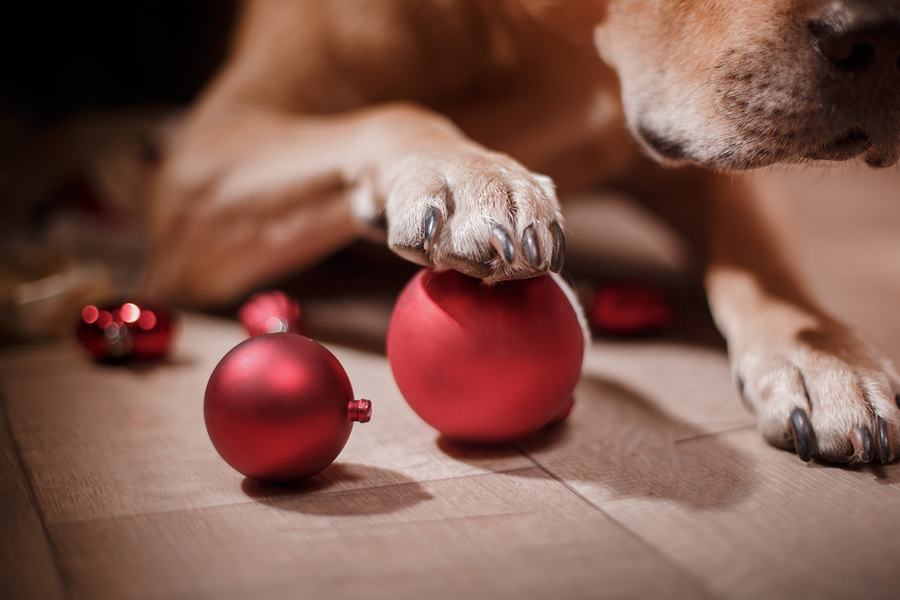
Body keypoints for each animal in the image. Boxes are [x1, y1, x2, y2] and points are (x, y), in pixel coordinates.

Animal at [144, 0, 900, 464]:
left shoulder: (697, 146)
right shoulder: (201, 157)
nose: (881, 31)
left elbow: (760, 254)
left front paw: (821, 353)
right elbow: (394, 110)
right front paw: (467, 170)